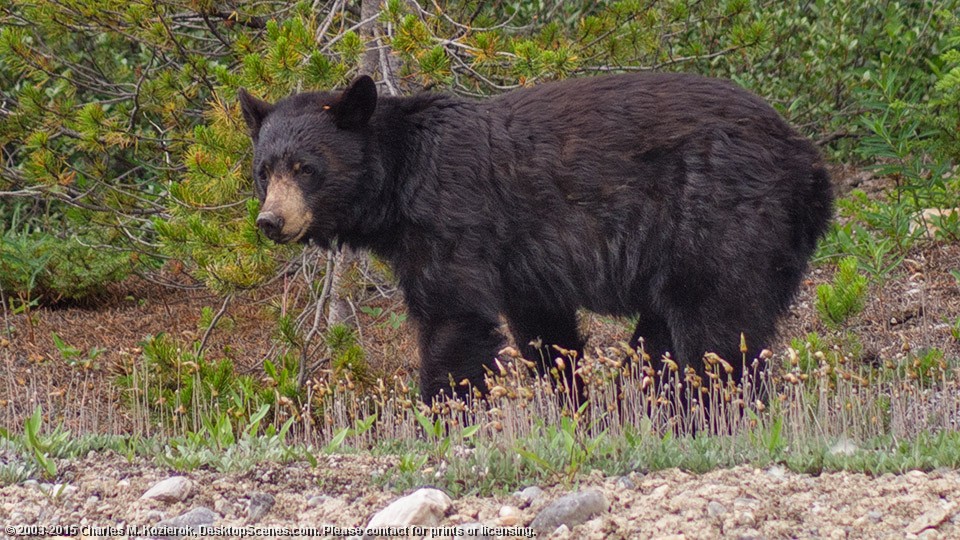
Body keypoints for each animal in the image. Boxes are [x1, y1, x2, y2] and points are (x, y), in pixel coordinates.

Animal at [240, 75, 832, 404]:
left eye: (305, 167)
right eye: (264, 170)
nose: (270, 221)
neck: (400, 179)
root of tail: (810, 162)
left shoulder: (452, 221)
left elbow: (453, 318)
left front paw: (443, 413)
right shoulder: (526, 263)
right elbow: (546, 334)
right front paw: (571, 406)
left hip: (721, 219)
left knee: (718, 330)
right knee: (663, 337)